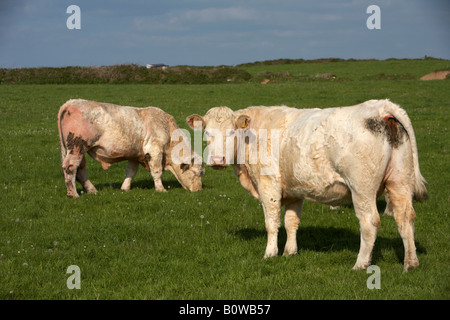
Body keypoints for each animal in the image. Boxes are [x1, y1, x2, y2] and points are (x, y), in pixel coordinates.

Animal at [58, 99, 204, 198]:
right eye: (196, 173)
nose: (199, 190)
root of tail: (71, 102)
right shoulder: (154, 150)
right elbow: (156, 171)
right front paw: (161, 189)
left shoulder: (135, 154)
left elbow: (130, 172)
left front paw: (125, 188)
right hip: (77, 146)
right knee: (70, 167)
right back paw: (73, 194)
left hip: (74, 149)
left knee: (80, 169)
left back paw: (92, 190)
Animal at [187, 99, 428, 270]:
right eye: (207, 133)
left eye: (231, 132)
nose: (217, 161)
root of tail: (379, 106)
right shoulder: (295, 190)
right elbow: (291, 222)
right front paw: (290, 252)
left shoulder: (268, 185)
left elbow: (272, 222)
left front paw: (270, 253)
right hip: (400, 181)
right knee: (405, 218)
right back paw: (411, 263)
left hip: (362, 187)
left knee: (369, 222)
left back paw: (360, 264)